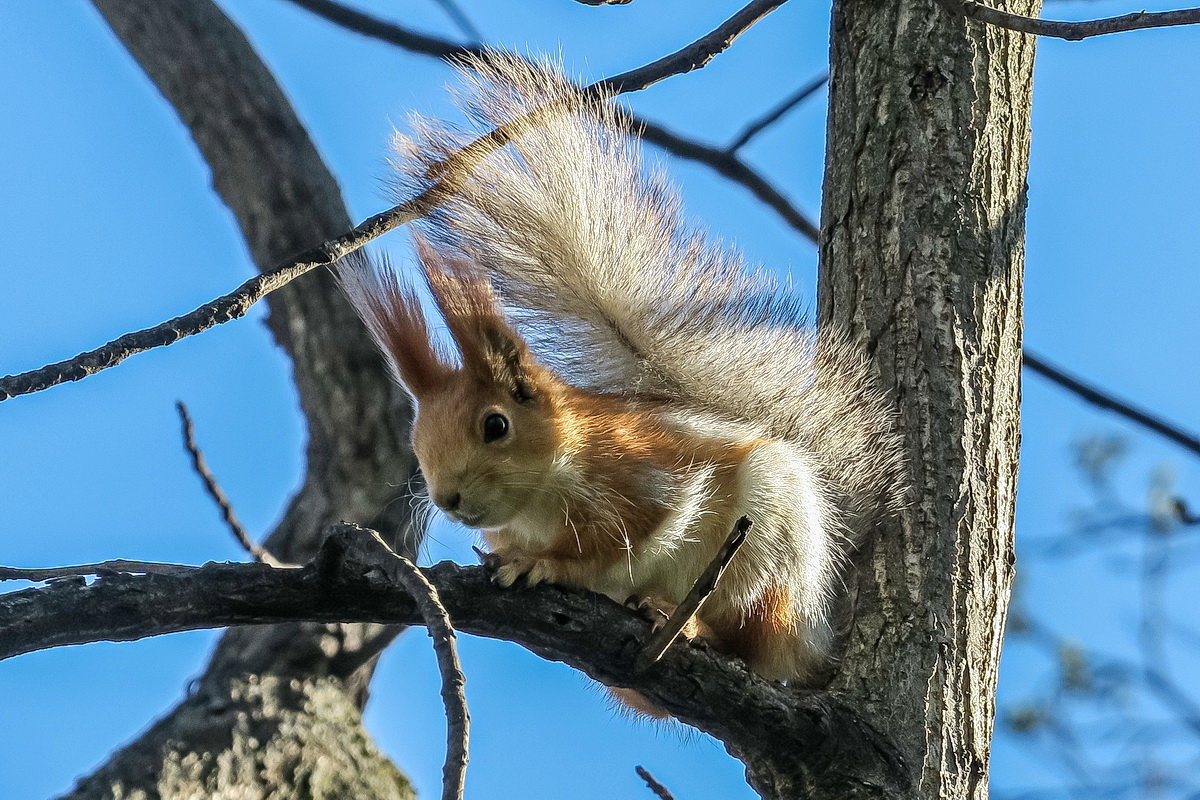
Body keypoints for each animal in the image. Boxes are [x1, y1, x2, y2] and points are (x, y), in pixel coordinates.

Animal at [338, 54, 902, 705]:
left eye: (496, 426)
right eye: (418, 441)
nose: (446, 500)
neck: (546, 488)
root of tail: (807, 633)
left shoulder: (643, 481)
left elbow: (622, 543)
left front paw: (549, 565)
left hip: (766, 543)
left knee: (751, 638)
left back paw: (687, 623)